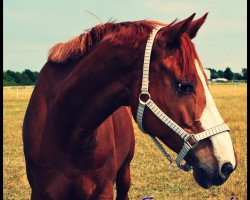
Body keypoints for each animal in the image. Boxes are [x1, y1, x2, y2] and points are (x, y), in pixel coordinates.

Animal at [23, 13, 236, 199]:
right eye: (184, 85)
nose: (227, 164)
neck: (64, 133)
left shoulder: (104, 192)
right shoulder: (39, 193)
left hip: (125, 172)